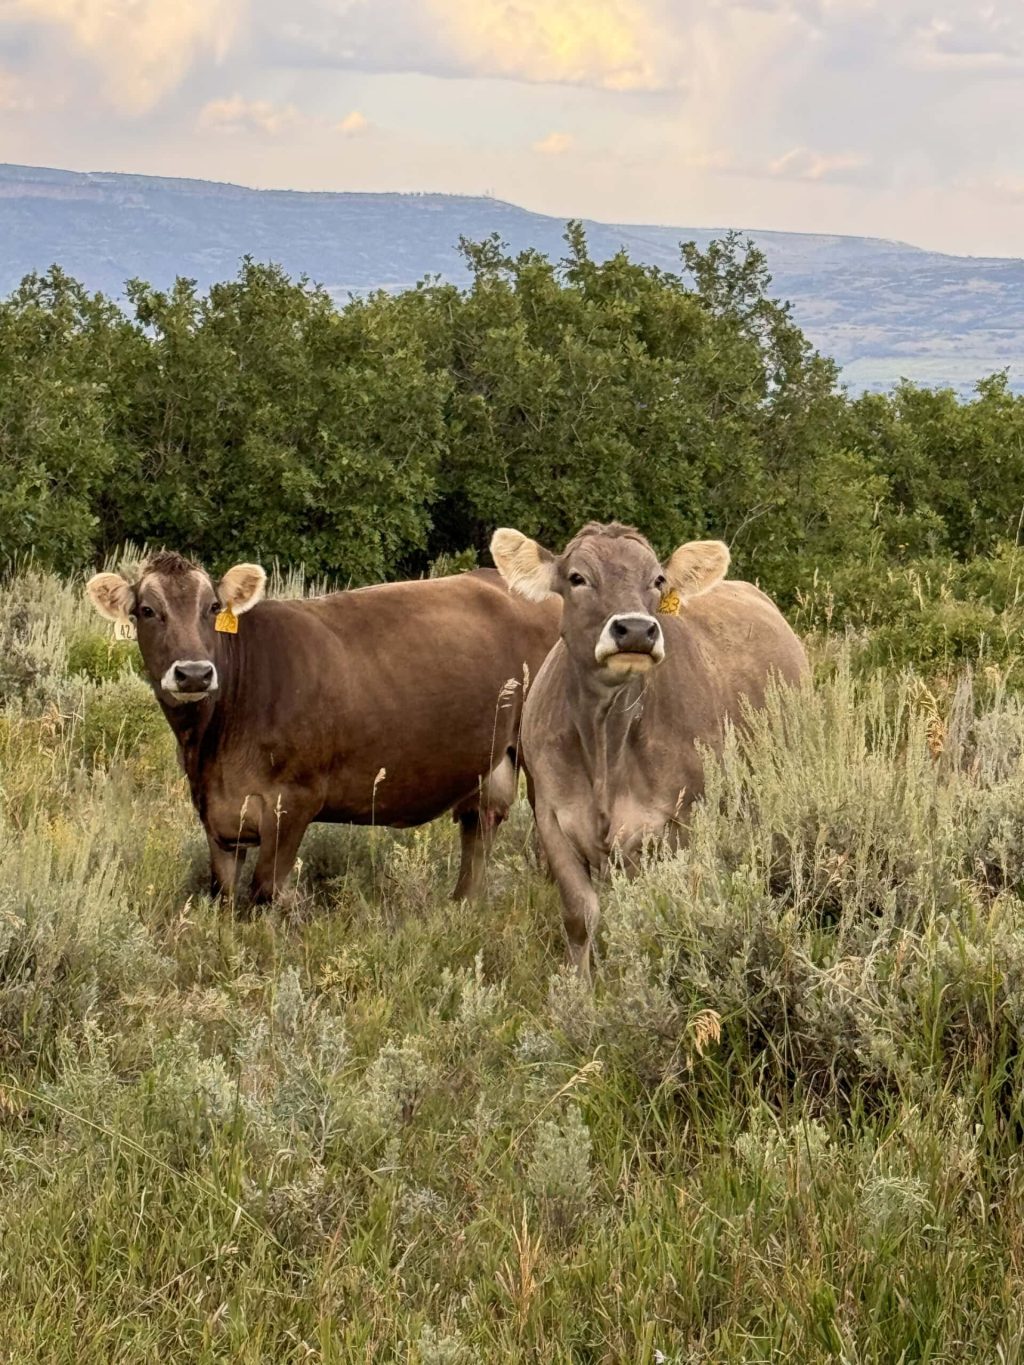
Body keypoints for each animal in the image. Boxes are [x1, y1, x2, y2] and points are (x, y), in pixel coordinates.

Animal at [86, 553, 561, 905]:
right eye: (147, 610)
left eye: (213, 608)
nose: (194, 673)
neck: (211, 745)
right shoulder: (217, 815)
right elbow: (223, 893)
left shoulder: (294, 802)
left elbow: (264, 892)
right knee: (480, 823)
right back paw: (462, 903)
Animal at [490, 521, 808, 982]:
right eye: (577, 577)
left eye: (657, 580)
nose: (637, 630)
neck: (604, 743)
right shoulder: (551, 817)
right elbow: (579, 916)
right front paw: (579, 989)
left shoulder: (677, 824)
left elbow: (651, 917)